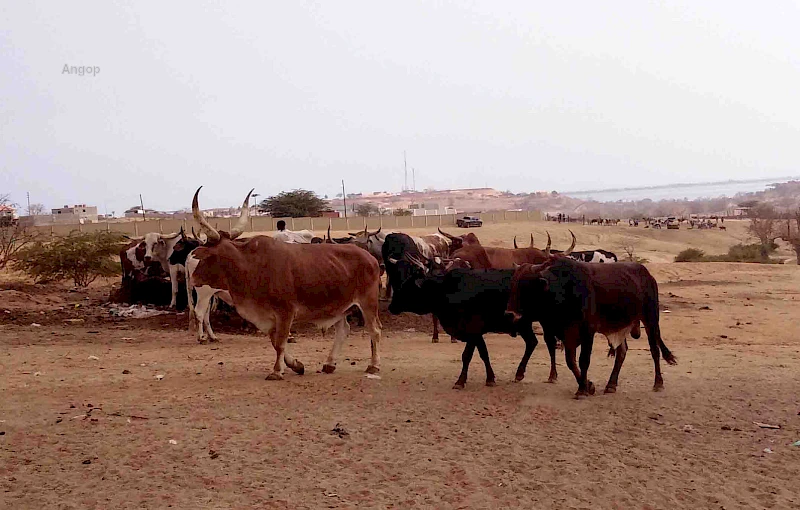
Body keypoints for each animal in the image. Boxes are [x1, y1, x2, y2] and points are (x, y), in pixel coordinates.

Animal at [191, 187, 384, 378]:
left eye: (207, 256)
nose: (193, 278)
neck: (251, 266)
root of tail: (370, 257)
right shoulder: (268, 317)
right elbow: (275, 342)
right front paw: (296, 365)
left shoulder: (285, 312)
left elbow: (280, 342)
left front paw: (277, 371)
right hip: (340, 307)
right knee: (343, 331)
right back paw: (329, 364)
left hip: (368, 303)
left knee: (375, 330)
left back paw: (374, 365)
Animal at [506, 256, 676, 396]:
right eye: (513, 283)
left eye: (526, 285)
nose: (510, 314)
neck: (562, 289)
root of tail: (647, 274)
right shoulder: (567, 332)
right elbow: (571, 361)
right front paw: (588, 385)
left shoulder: (587, 330)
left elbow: (583, 360)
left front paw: (582, 389)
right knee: (622, 352)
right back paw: (611, 385)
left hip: (651, 319)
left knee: (654, 350)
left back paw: (658, 383)